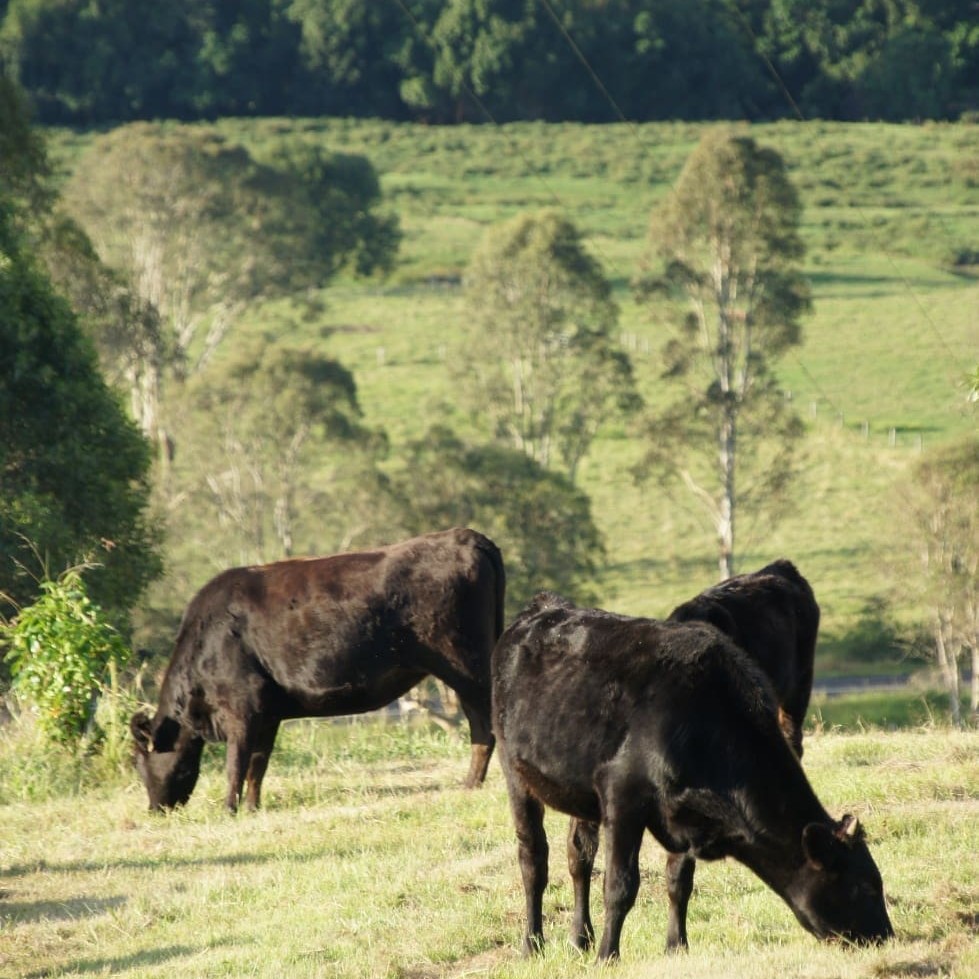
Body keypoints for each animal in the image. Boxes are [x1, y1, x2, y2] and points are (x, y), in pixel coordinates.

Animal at [130, 528, 506, 812]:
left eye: (138, 761)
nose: (155, 809)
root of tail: (465, 536)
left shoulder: (241, 709)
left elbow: (236, 765)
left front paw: (229, 808)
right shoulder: (266, 714)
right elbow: (258, 764)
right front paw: (252, 807)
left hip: (465, 664)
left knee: (484, 725)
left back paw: (471, 783)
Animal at [494, 592, 892, 960]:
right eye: (866, 886)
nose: (885, 937)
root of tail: (544, 607)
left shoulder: (683, 814)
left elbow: (679, 881)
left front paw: (676, 946)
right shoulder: (623, 796)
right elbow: (620, 886)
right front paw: (608, 956)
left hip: (581, 793)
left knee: (578, 857)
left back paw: (580, 940)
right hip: (515, 773)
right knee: (533, 860)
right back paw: (532, 944)